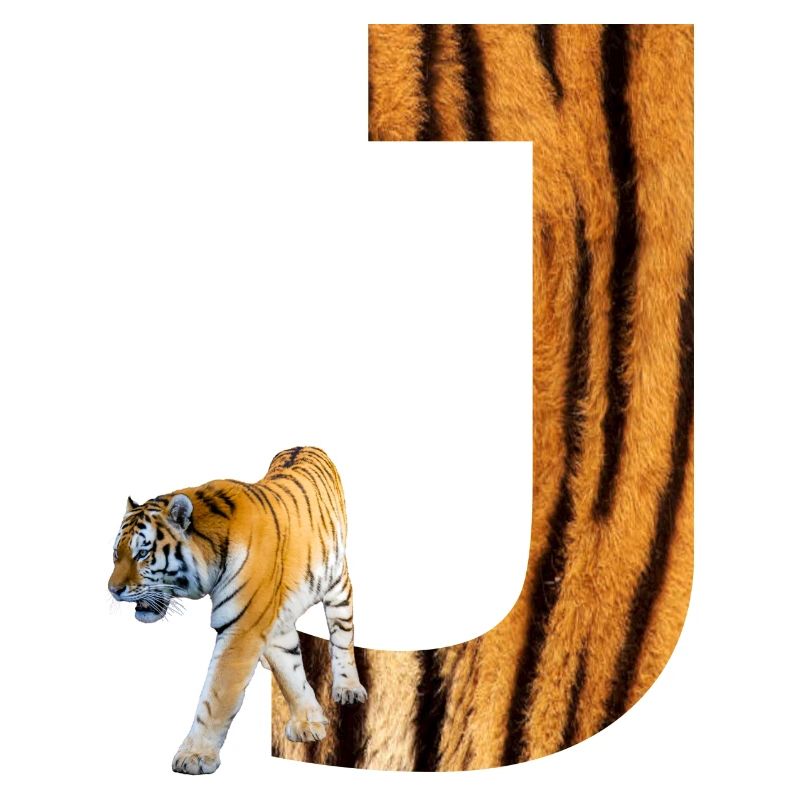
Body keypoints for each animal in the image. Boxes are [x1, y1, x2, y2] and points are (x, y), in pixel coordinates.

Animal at [108, 446, 367, 775]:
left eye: (142, 553)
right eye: (116, 554)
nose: (112, 590)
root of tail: (306, 445)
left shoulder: (242, 628)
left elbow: (216, 695)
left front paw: (195, 756)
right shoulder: (269, 622)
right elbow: (291, 672)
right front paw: (308, 721)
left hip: (337, 583)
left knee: (342, 635)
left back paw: (348, 688)